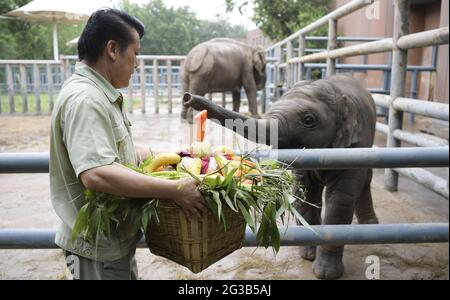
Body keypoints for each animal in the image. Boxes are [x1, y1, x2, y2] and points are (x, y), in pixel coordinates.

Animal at [183, 74, 380, 278]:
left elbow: (340, 200)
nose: (188, 97)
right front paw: (307, 255)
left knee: (365, 181)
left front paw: (326, 274)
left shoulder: (356, 145)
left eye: (308, 120)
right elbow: (304, 193)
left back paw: (370, 225)